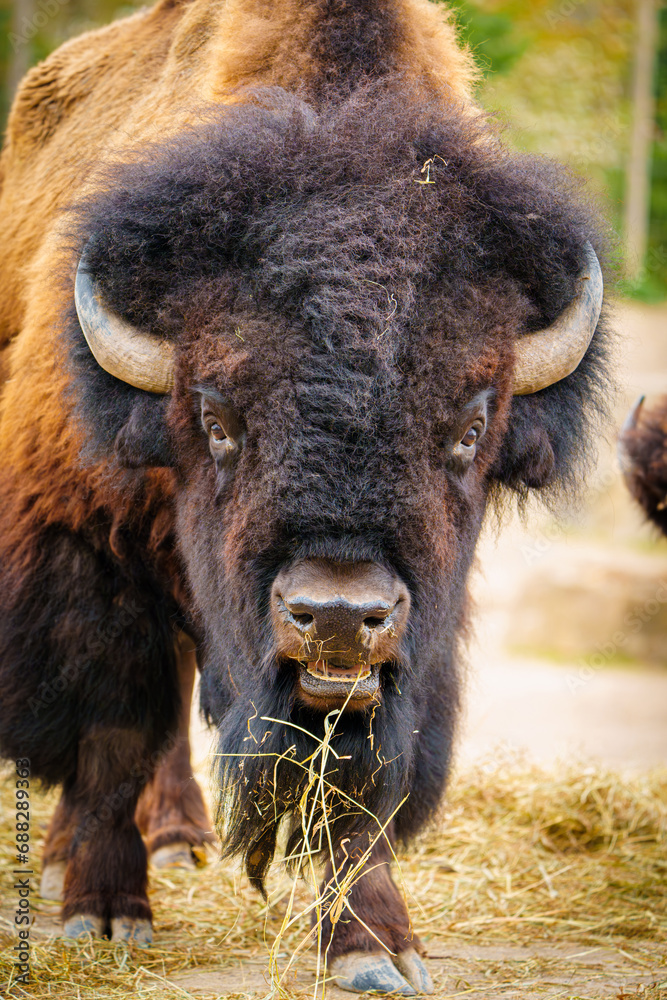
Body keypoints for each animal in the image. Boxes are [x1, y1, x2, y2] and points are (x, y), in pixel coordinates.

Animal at [0, 0, 610, 993]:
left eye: (468, 429)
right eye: (215, 419)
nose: (336, 615)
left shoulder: (412, 651)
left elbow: (361, 796)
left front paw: (376, 948)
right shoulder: (84, 546)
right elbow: (113, 732)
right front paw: (104, 912)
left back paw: (178, 839)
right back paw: (95, 859)